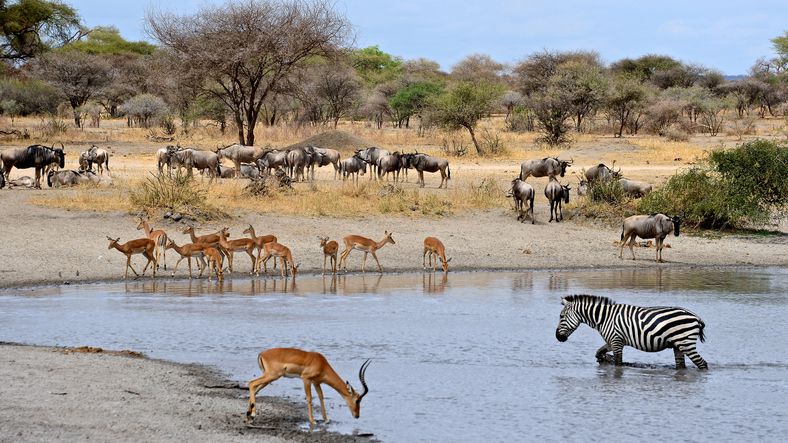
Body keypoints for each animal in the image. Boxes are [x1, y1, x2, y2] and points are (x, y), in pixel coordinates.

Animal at [556, 294, 708, 372]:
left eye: (561, 316)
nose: (557, 337)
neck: (604, 318)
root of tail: (696, 317)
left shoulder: (616, 341)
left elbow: (618, 363)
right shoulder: (611, 341)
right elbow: (598, 352)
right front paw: (604, 359)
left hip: (686, 343)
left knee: (702, 364)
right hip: (678, 346)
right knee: (681, 367)